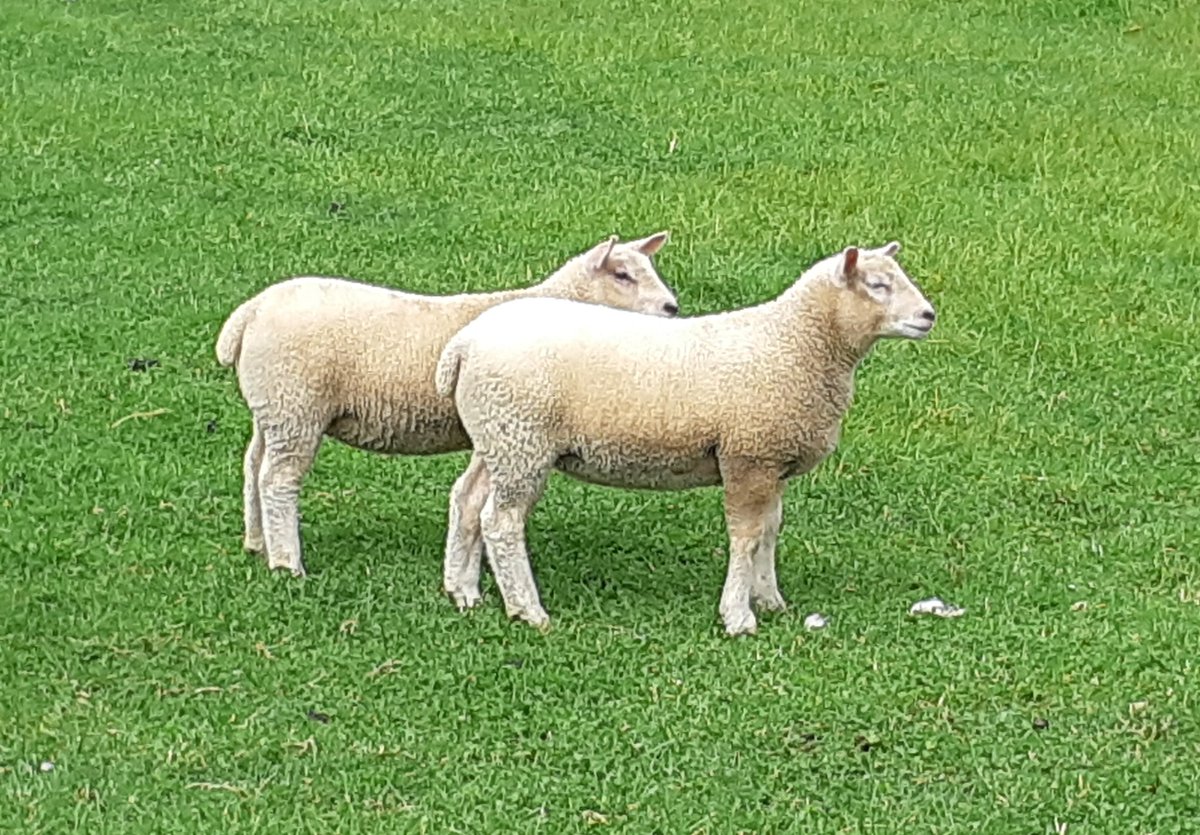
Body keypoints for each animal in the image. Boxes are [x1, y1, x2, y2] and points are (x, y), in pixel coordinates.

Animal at [215, 231, 677, 577]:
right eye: (622, 274)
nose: (672, 307)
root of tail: (249, 313)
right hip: (297, 406)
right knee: (278, 481)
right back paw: (288, 563)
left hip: (272, 407)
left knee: (253, 466)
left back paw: (256, 544)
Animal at [435, 241, 936, 636]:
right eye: (877, 285)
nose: (928, 316)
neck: (795, 343)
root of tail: (465, 343)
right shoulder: (747, 457)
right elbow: (746, 537)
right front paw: (738, 615)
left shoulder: (773, 461)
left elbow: (770, 531)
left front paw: (771, 599)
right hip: (522, 440)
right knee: (502, 522)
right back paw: (528, 609)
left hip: (499, 439)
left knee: (469, 501)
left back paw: (463, 590)